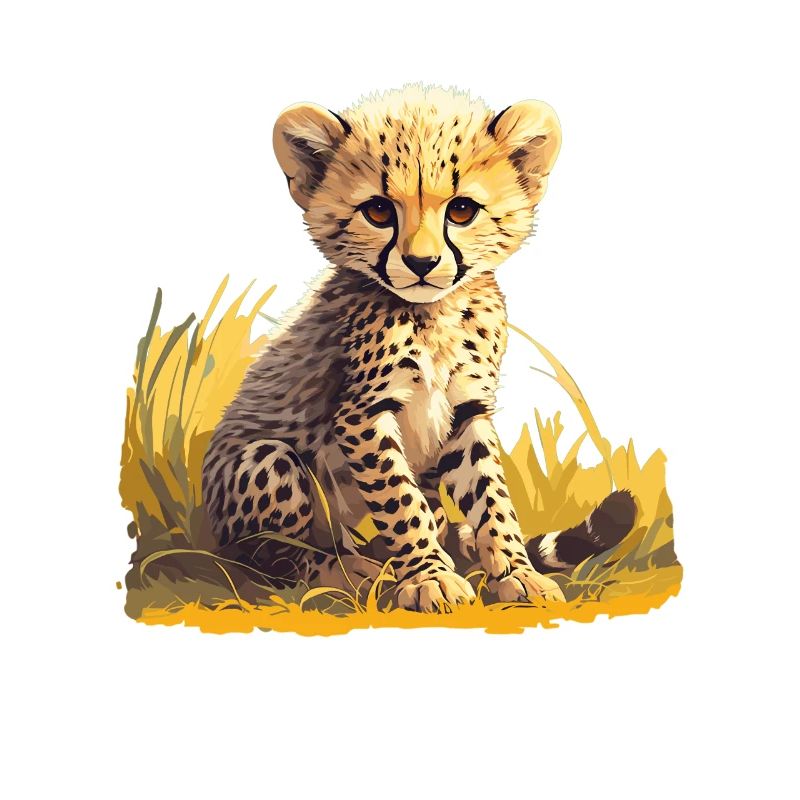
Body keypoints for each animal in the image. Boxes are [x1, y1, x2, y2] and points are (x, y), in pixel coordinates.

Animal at [201, 85, 635, 612]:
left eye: (462, 211)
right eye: (379, 211)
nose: (422, 263)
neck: (435, 315)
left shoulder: (466, 409)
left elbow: (491, 497)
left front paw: (516, 572)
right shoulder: (362, 415)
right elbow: (400, 503)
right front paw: (431, 576)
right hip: (263, 461)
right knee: (274, 556)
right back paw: (347, 570)